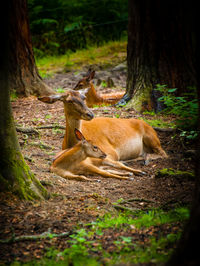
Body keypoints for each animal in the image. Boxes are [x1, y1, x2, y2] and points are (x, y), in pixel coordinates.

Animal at [38, 90, 166, 180]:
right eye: (69, 100)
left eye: (84, 98)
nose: (90, 114)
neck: (70, 144)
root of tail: (145, 122)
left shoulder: (110, 152)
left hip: (152, 137)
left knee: (163, 153)